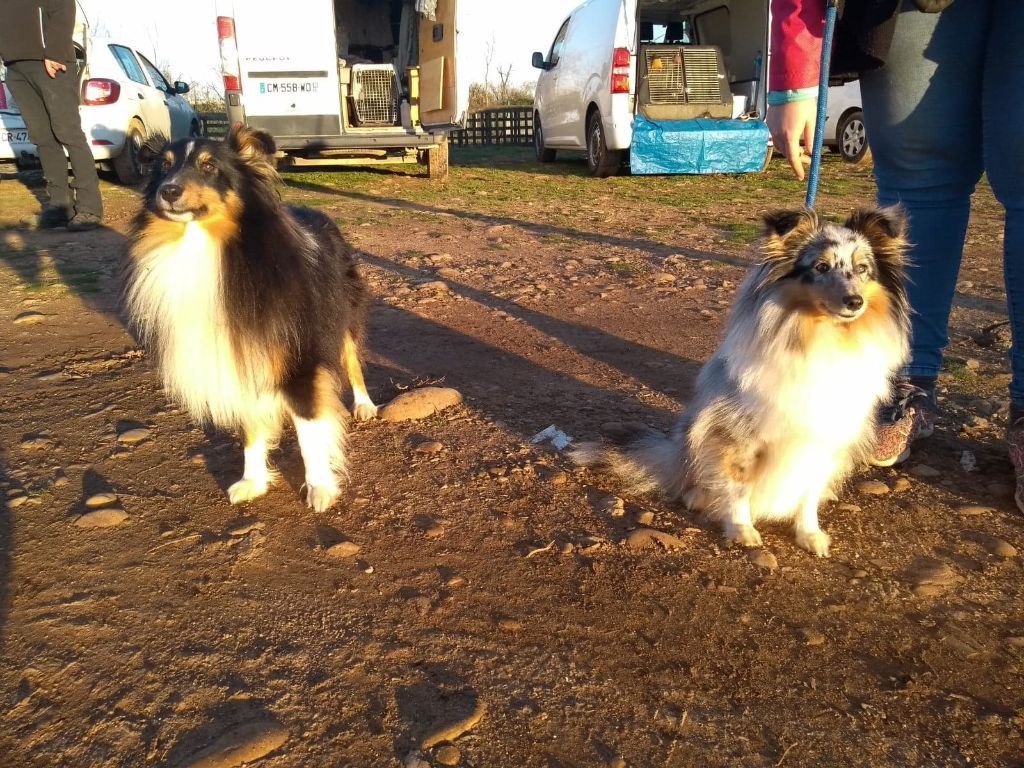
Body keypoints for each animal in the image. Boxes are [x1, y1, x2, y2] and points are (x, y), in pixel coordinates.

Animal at [120, 124, 376, 512]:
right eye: (164, 166)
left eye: (210, 167)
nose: (169, 191)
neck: (206, 246)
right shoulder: (239, 356)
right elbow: (250, 428)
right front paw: (252, 481)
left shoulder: (299, 361)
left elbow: (309, 431)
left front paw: (319, 487)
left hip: (342, 313)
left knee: (352, 360)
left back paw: (363, 405)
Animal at [577, 208, 913, 561]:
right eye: (821, 267)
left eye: (863, 269)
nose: (854, 301)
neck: (822, 337)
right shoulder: (736, 433)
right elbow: (738, 487)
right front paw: (742, 530)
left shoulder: (825, 439)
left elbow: (808, 492)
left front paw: (810, 534)